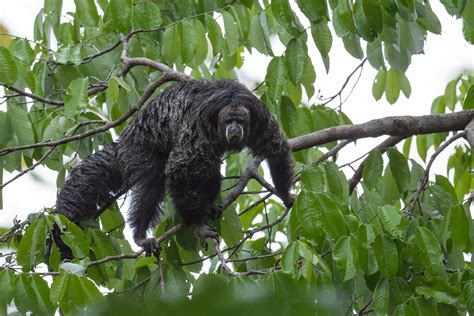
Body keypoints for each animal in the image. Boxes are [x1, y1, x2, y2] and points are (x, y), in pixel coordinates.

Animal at [54, 79, 292, 256]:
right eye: (229, 121)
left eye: (240, 121)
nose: (234, 128)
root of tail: (126, 136)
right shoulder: (197, 128)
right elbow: (179, 168)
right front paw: (196, 224)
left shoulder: (259, 118)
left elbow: (277, 149)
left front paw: (284, 194)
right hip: (139, 148)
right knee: (154, 179)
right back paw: (141, 235)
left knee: (210, 169)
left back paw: (209, 205)